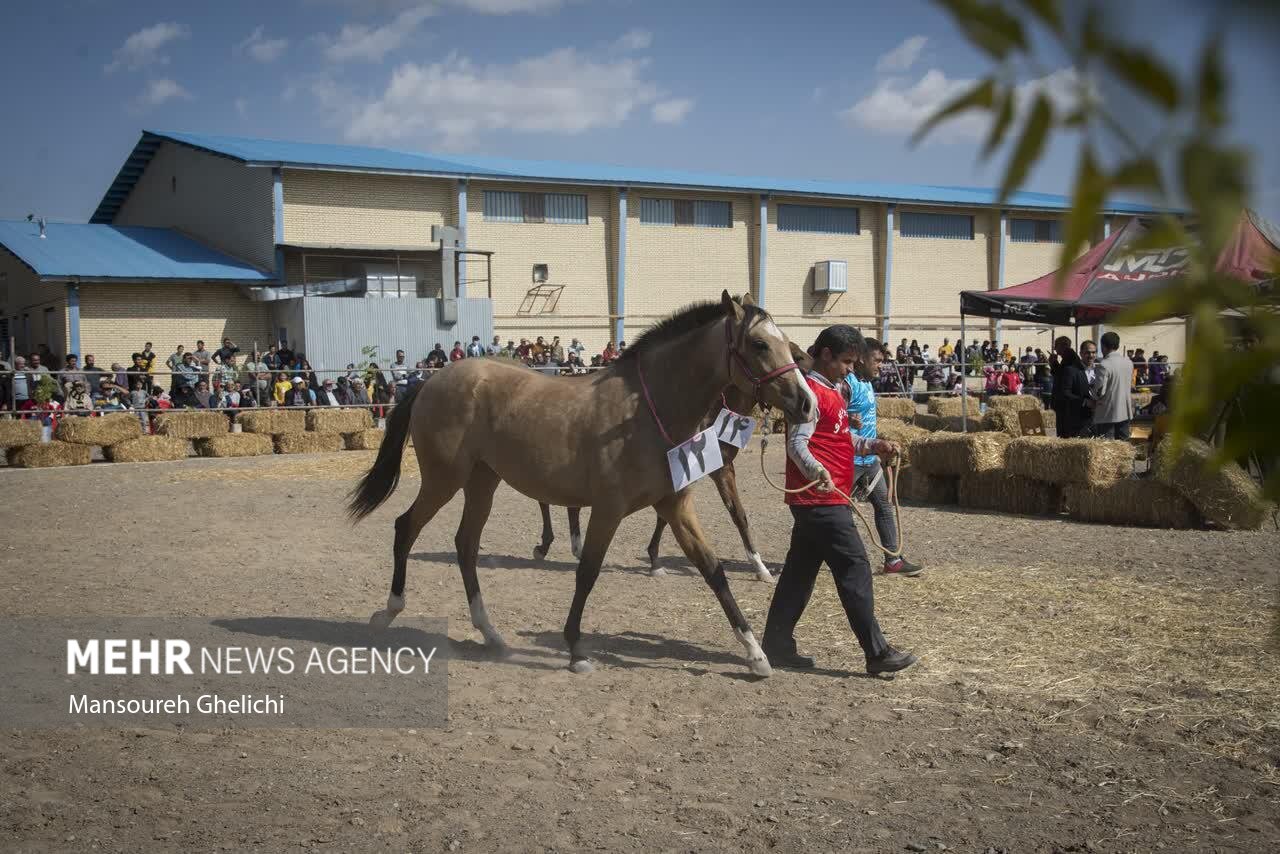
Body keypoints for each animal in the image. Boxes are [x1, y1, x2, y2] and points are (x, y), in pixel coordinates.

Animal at [348, 290, 808, 676]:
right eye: (759, 344)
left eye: (786, 341)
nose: (805, 402)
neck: (645, 411)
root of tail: (432, 380)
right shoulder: (608, 509)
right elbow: (587, 572)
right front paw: (575, 651)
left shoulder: (675, 506)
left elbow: (713, 570)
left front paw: (755, 654)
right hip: (444, 479)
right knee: (406, 528)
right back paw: (388, 612)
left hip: (482, 482)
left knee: (466, 546)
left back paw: (491, 634)